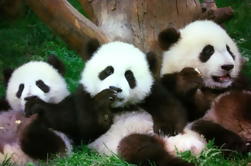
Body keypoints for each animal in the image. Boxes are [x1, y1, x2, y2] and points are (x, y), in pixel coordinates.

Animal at [158, 20, 250, 154]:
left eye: (229, 50)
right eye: (208, 51)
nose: (228, 66)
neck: (211, 87)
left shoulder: (239, 83)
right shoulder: (169, 84)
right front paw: (187, 80)